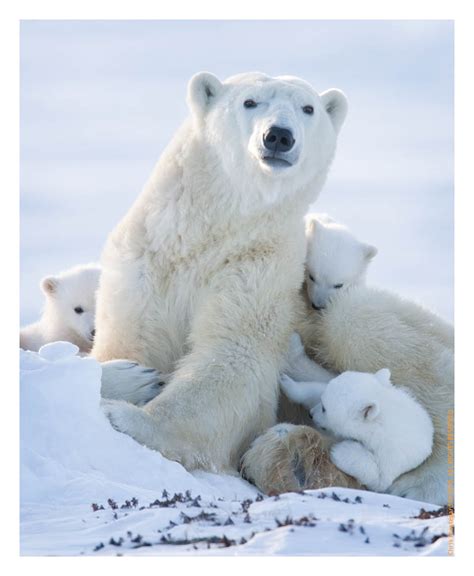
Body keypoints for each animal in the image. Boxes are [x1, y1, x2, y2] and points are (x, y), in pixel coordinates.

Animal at [93, 71, 348, 472]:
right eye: (250, 101)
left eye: (308, 108)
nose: (279, 136)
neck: (209, 232)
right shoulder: (145, 260)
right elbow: (131, 338)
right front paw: (129, 378)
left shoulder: (259, 265)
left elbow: (234, 354)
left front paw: (126, 415)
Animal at [282, 368, 434, 490]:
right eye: (322, 402)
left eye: (324, 408)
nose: (311, 414)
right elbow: (317, 388)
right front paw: (286, 382)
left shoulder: (391, 454)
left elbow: (379, 478)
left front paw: (341, 451)